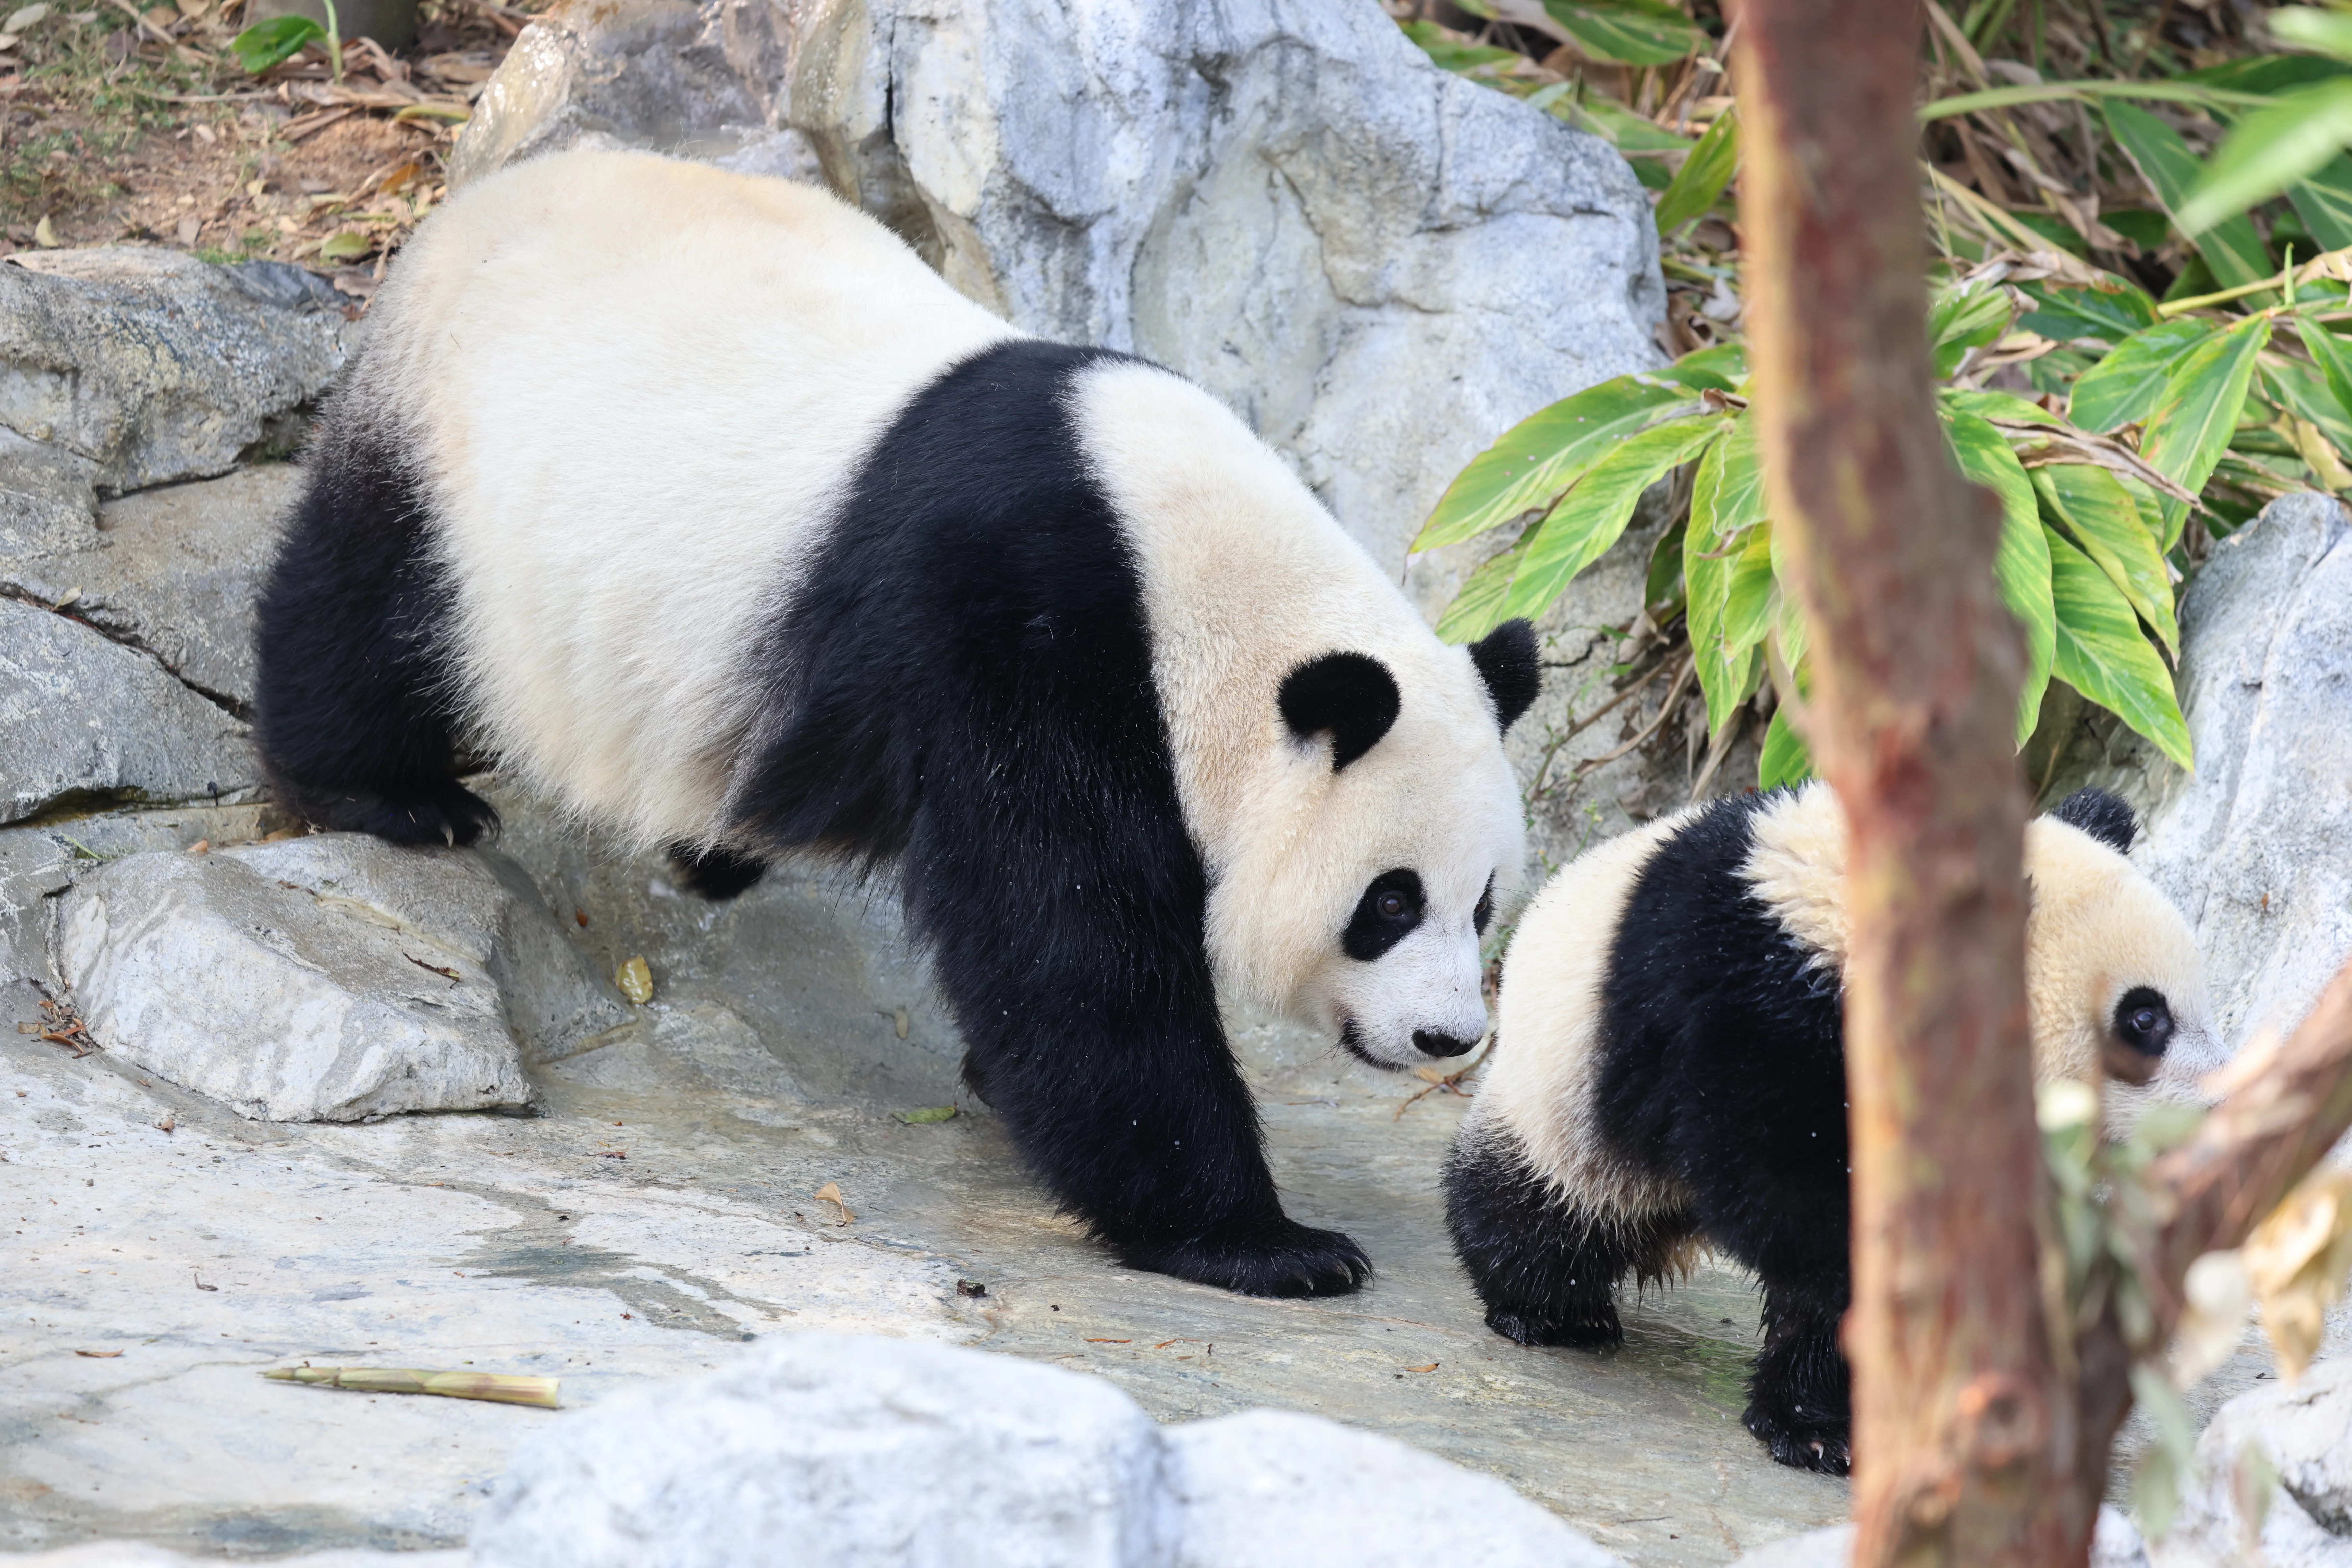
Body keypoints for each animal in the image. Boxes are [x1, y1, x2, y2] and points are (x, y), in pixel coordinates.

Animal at [252, 148, 1542, 1299]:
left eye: (1482, 903)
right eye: (1389, 902)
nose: (1448, 1040)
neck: (1190, 579)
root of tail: (481, 194)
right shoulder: (1021, 628)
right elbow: (1071, 937)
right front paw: (1263, 1243)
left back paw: (706, 853)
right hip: (453, 444)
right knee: (368, 601)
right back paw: (387, 794)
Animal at [1441, 783, 2218, 1472]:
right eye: (2144, 1018)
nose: (2214, 1110)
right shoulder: (1756, 1012)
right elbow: (1802, 1214)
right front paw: (1821, 1426)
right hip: (1565, 1094)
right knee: (1540, 1205)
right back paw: (1547, 1309)